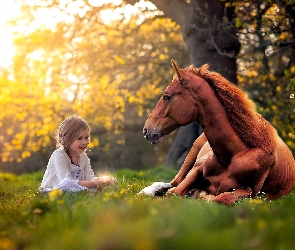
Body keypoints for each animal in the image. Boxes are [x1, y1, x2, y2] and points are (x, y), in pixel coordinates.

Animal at [143, 59, 295, 204]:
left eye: (167, 97)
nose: (146, 130)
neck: (233, 154)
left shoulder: (252, 192)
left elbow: (223, 198)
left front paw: (197, 193)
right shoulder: (196, 170)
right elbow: (173, 192)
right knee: (172, 183)